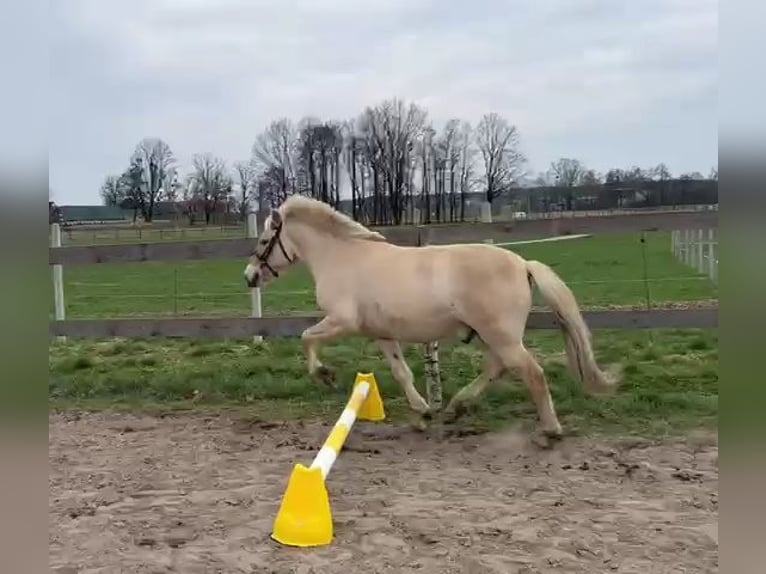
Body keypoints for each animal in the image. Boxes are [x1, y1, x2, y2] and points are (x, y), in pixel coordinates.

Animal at [244, 195, 616, 438]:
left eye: (263, 241)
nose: (249, 277)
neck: (342, 257)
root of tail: (523, 263)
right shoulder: (381, 333)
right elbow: (402, 372)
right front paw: (422, 413)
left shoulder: (342, 322)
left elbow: (306, 338)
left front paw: (324, 375)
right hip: (489, 335)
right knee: (496, 368)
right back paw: (455, 408)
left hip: (500, 335)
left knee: (531, 373)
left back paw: (551, 430)